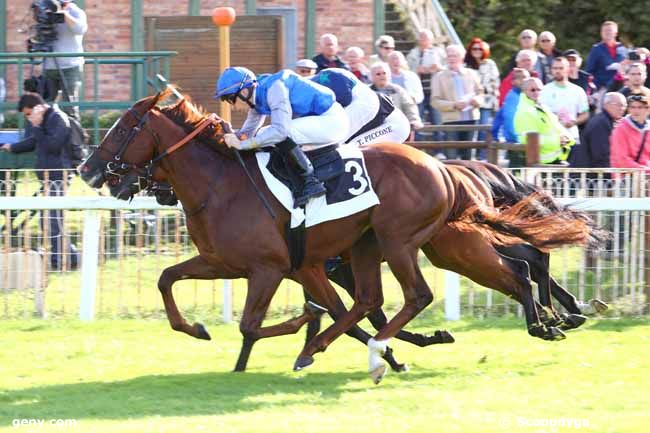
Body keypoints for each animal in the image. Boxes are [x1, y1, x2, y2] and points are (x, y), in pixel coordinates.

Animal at [79, 90, 596, 378]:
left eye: (124, 128)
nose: (87, 170)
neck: (220, 186)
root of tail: (445, 169)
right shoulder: (237, 263)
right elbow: (167, 279)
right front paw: (199, 329)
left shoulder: (272, 268)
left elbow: (256, 322)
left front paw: (297, 330)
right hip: (411, 246)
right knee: (516, 266)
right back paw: (552, 320)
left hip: (416, 243)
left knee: (465, 281)